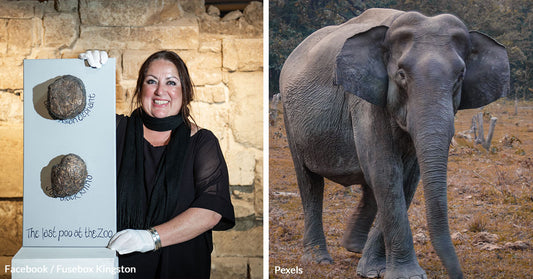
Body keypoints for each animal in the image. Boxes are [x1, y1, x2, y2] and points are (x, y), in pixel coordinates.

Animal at [278, 7, 508, 278]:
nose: (457, 274)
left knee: (367, 183)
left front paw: (374, 270)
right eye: (401, 75)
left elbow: (407, 176)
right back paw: (319, 259)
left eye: (460, 76)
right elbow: (386, 169)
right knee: (310, 181)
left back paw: (354, 246)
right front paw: (404, 274)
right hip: (288, 115)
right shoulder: (365, 100)